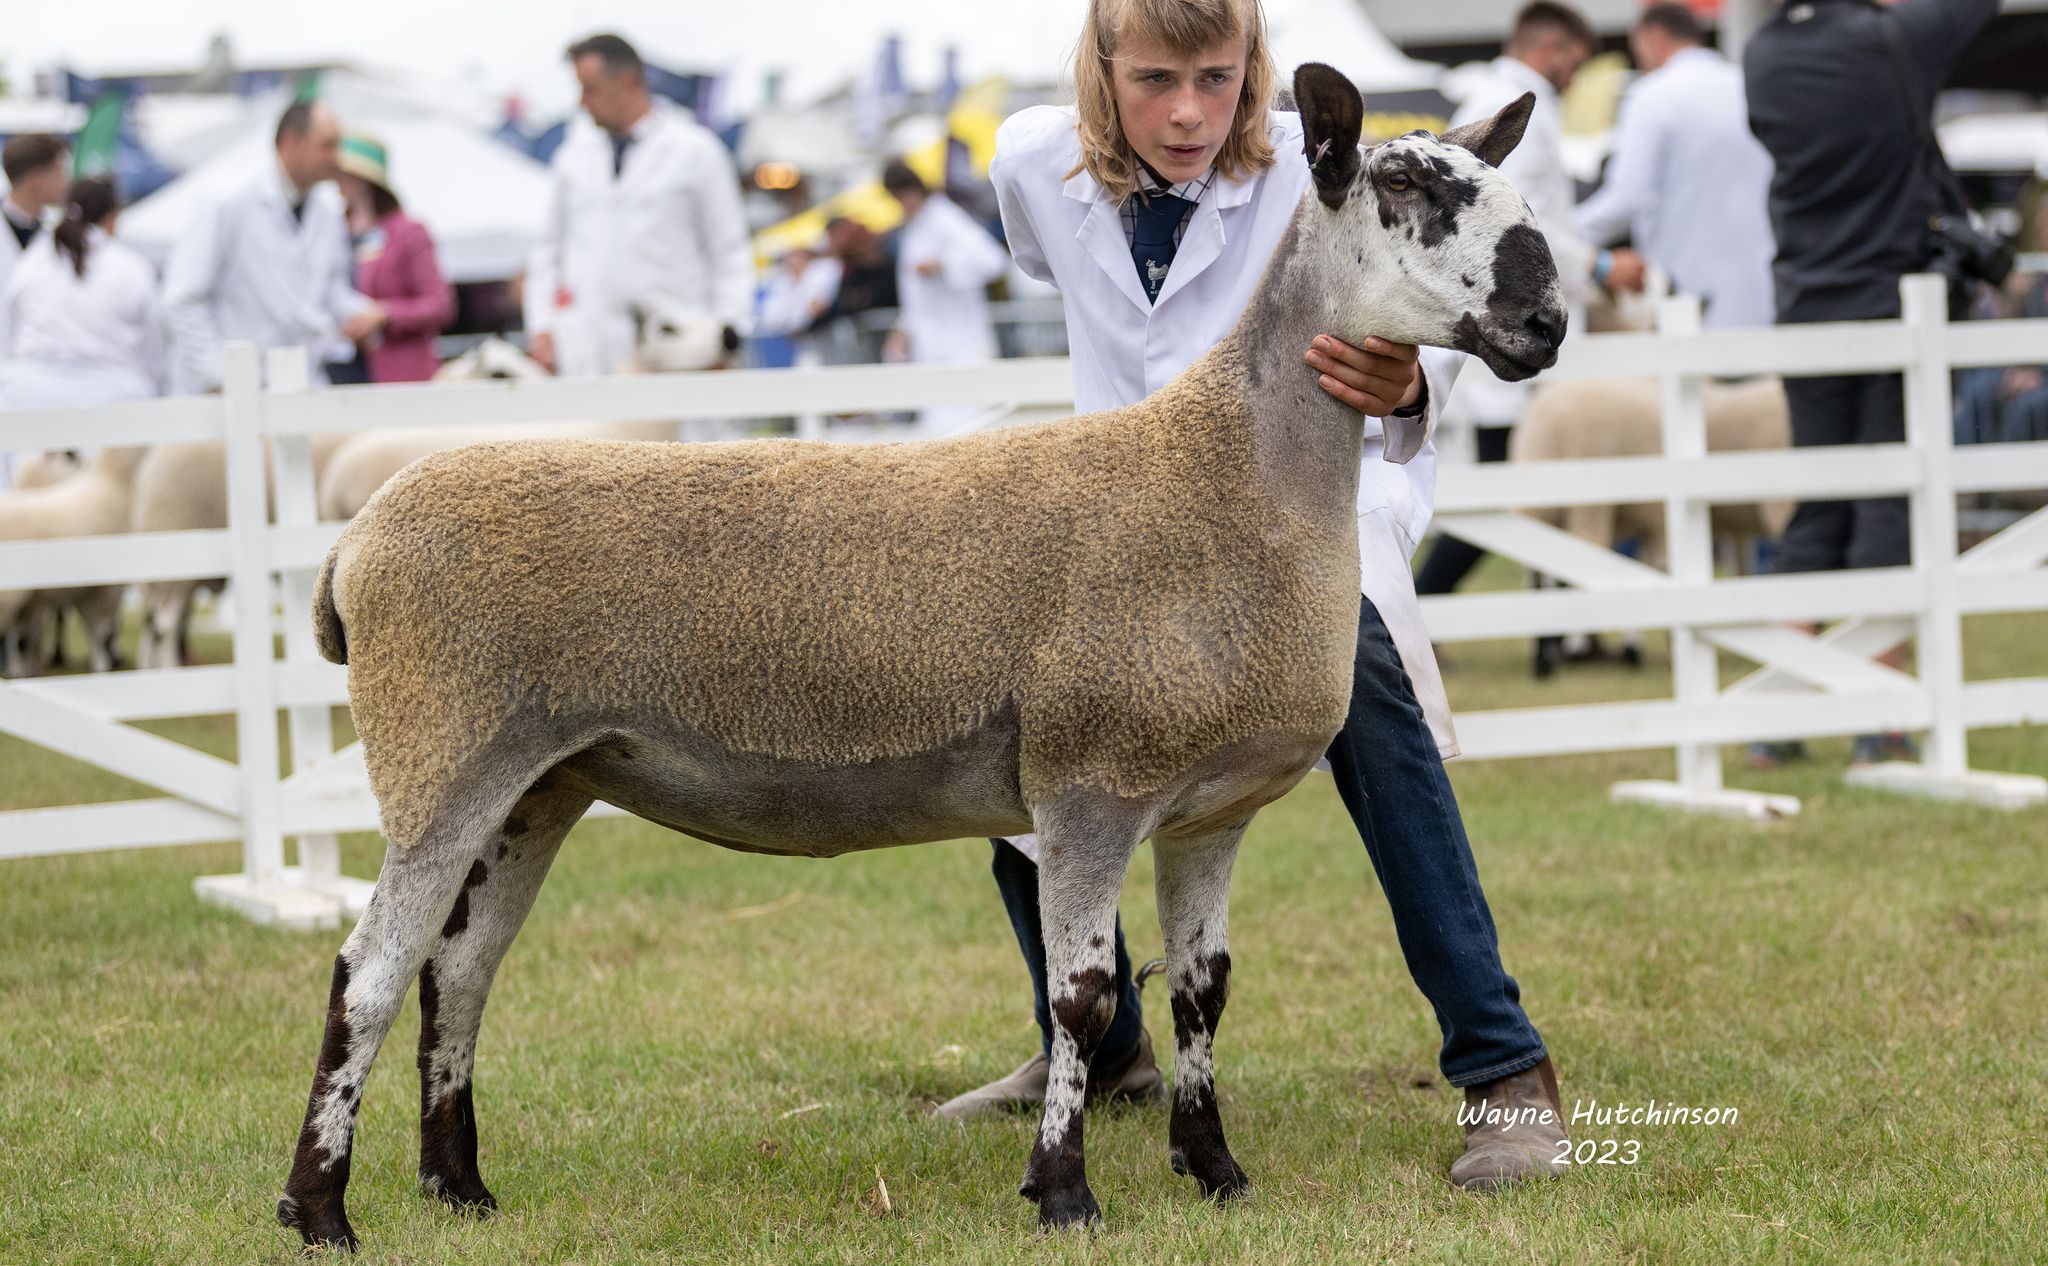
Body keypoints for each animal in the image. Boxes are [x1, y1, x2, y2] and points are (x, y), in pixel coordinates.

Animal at [276, 66, 1564, 1245]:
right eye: (1401, 189)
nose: (1545, 322)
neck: (1229, 478)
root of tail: (355, 541)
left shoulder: (1209, 810)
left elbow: (1201, 995)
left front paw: (1215, 1174)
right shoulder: (1089, 785)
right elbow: (1083, 1001)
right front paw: (1064, 1195)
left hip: (538, 782)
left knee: (456, 973)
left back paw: (459, 1187)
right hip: (442, 750)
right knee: (368, 973)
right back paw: (319, 1209)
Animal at [1515, 372, 1785, 676]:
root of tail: (1554, 421)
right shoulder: (1658, 519)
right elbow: (1656, 571)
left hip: (1544, 507)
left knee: (1541, 572)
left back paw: (1547, 657)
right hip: (1586, 505)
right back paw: (1567, 651)